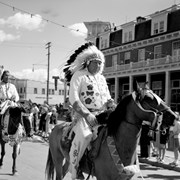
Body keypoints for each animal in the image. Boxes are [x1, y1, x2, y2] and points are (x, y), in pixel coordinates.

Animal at [45, 80, 177, 180]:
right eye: (149, 98)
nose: (174, 116)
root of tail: (56, 127)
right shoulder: (103, 177)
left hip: (68, 160)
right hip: (57, 158)